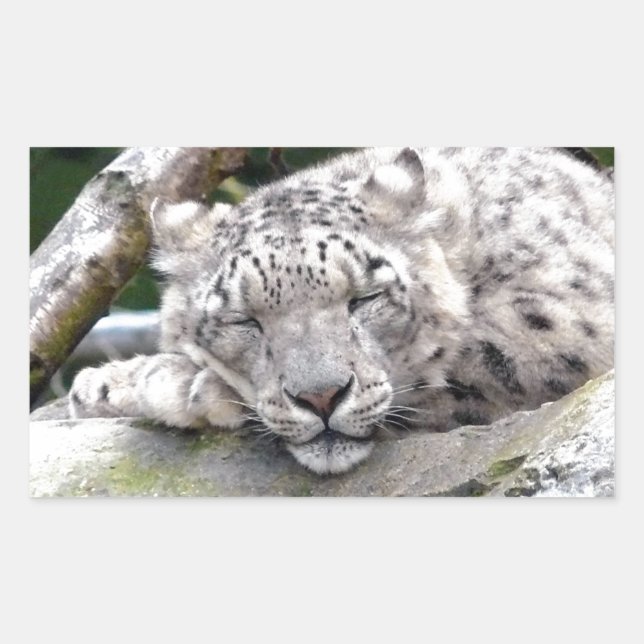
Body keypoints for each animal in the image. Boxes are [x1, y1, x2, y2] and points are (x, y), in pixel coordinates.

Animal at [69, 147, 615, 475]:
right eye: (244, 319)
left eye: (365, 298)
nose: (321, 398)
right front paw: (106, 386)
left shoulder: (565, 322)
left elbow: (449, 370)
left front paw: (176, 382)